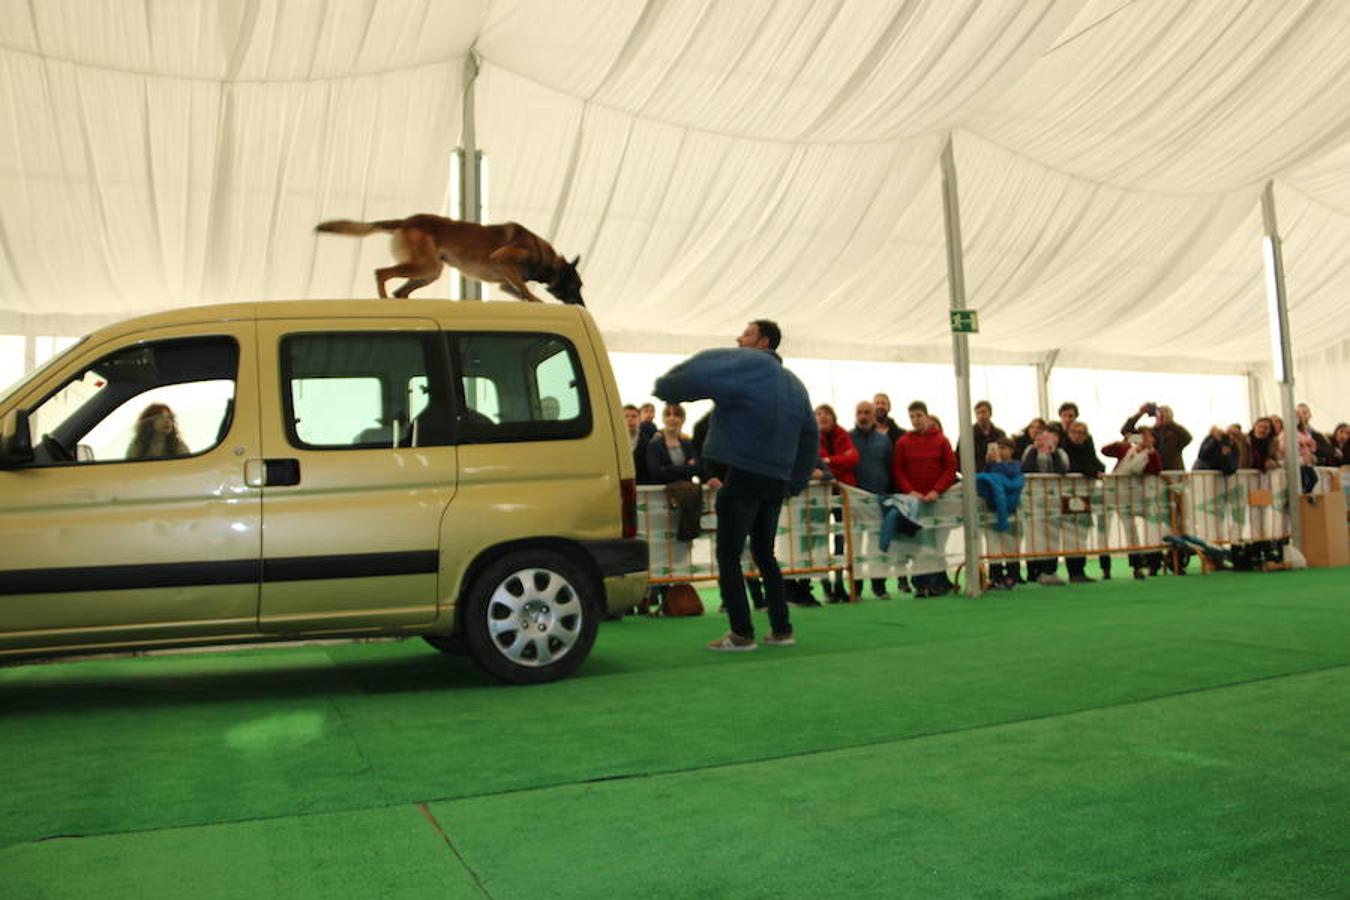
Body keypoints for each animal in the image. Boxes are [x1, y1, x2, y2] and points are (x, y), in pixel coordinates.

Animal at [318, 214, 588, 306]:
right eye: (576, 286)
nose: (582, 306)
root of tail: (406, 221)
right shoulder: (503, 260)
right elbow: (525, 289)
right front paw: (535, 299)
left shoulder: (505, 281)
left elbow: (518, 290)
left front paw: (530, 300)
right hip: (424, 265)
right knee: (381, 273)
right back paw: (383, 300)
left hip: (431, 270)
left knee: (400, 291)